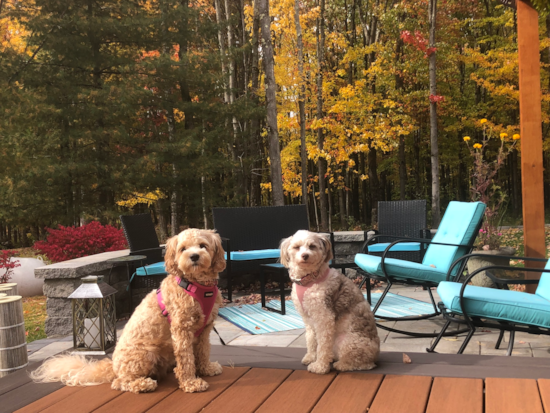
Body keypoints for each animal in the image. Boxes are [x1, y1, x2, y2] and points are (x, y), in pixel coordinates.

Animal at [280, 230, 380, 374]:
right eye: (297, 247)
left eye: (312, 246)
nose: (305, 255)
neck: (309, 280)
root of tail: (376, 355)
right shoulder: (308, 319)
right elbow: (311, 339)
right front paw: (311, 357)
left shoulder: (324, 317)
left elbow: (322, 345)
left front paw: (320, 366)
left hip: (346, 342)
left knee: (363, 363)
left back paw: (341, 364)